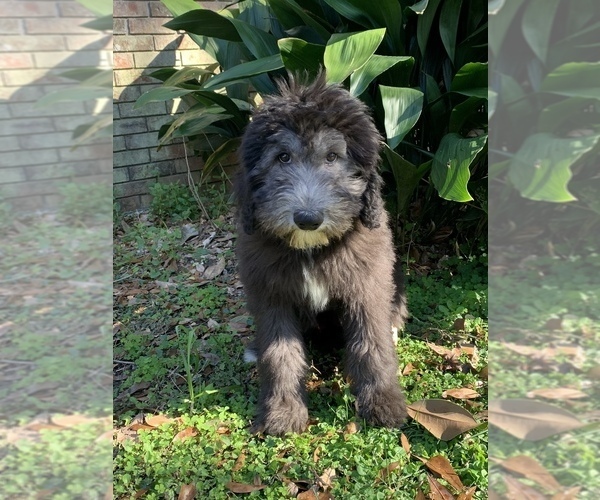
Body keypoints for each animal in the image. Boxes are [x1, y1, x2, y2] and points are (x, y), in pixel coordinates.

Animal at [234, 73, 408, 434]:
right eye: (283, 157)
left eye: (332, 157)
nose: (307, 218)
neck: (311, 250)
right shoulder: (271, 294)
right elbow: (280, 353)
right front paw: (282, 413)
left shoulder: (367, 284)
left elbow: (371, 342)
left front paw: (383, 404)